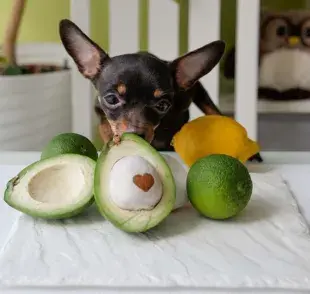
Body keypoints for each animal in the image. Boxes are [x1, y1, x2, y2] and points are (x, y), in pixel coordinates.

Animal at [58, 19, 262, 162]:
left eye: (163, 105)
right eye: (111, 99)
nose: (136, 134)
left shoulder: (194, 91)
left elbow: (214, 111)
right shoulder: (102, 118)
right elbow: (108, 128)